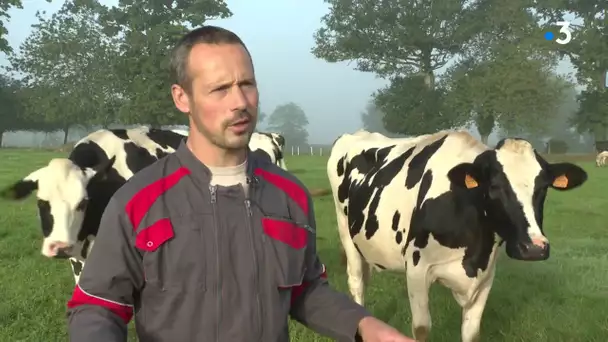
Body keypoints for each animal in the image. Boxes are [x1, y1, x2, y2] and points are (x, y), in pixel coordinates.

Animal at [328, 130, 588, 342]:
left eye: (543, 187)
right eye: (494, 186)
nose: (534, 248)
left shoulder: (486, 276)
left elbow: (471, 333)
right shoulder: (417, 269)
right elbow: (421, 329)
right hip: (345, 231)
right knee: (356, 283)